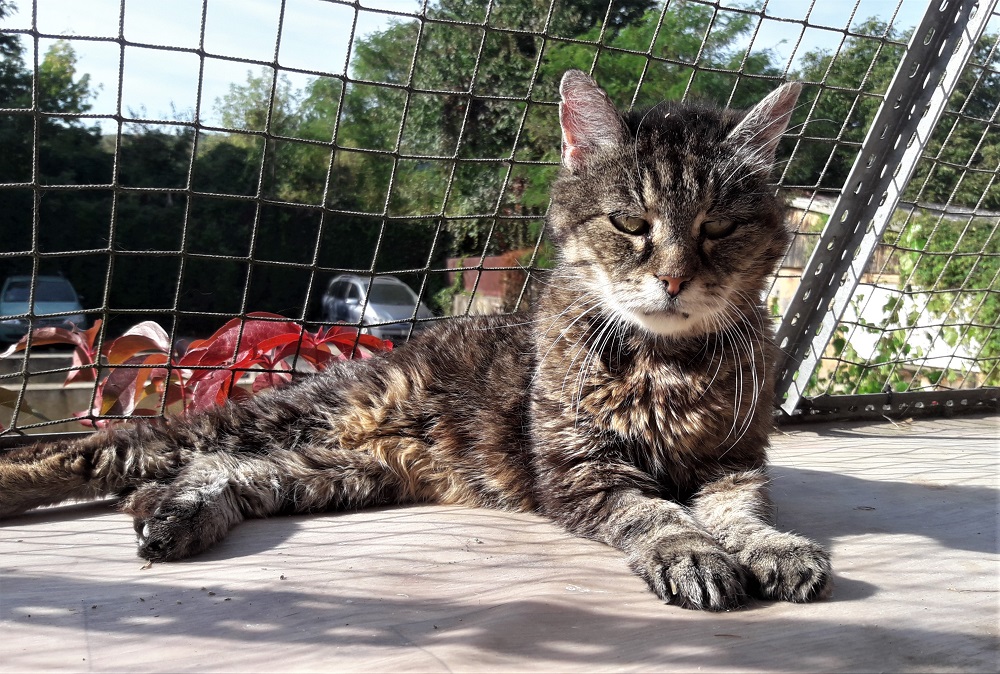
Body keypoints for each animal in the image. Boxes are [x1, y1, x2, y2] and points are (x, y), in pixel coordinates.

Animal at [0, 70, 831, 611]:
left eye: (719, 228)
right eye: (630, 223)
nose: (673, 278)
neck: (667, 362)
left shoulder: (734, 462)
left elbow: (741, 510)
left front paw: (772, 547)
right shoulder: (581, 471)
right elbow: (655, 514)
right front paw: (692, 553)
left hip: (335, 469)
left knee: (228, 469)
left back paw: (174, 514)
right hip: (266, 417)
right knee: (113, 450)